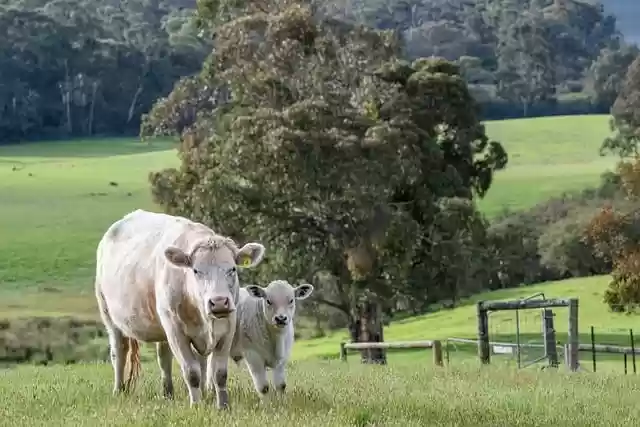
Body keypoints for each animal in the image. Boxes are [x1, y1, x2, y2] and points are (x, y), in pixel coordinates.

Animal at [94, 209, 265, 409]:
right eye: (196, 271)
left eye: (232, 269)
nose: (219, 302)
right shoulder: (175, 330)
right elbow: (192, 372)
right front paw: (196, 405)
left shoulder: (228, 327)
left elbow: (219, 373)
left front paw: (223, 406)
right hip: (110, 316)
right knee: (119, 352)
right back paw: (119, 390)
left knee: (165, 358)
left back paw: (171, 393)